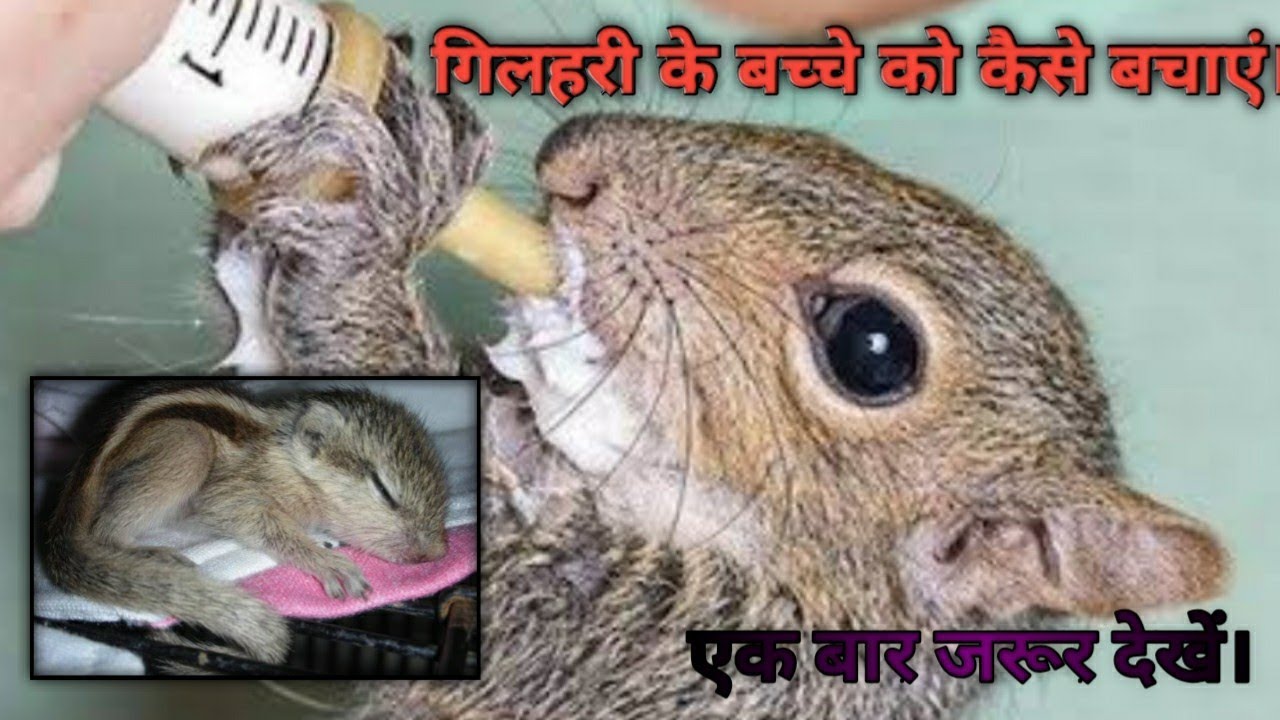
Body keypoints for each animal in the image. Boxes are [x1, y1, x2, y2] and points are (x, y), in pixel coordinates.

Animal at [43, 380, 450, 666]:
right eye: (383, 489)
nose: (436, 553)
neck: (290, 463)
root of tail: (79, 480)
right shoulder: (232, 495)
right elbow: (262, 523)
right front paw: (327, 562)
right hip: (187, 444)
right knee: (104, 530)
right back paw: (152, 554)